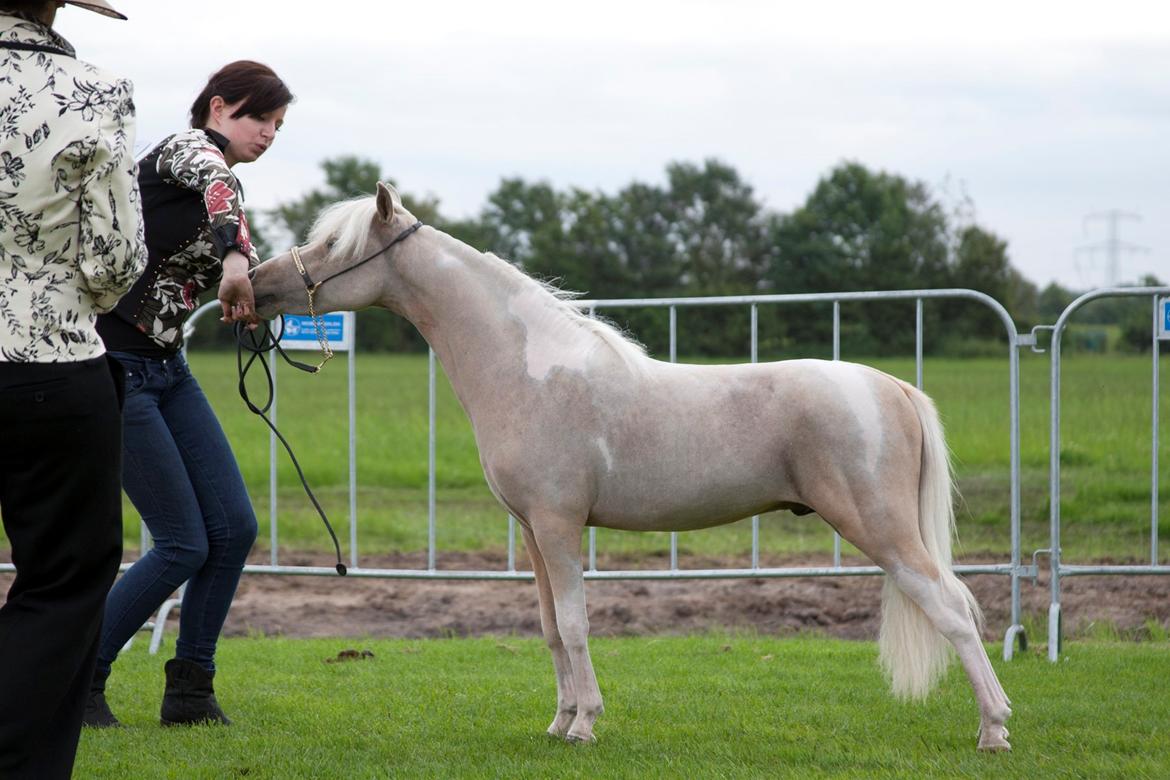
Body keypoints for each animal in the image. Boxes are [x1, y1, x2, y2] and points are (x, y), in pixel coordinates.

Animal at [251, 181, 1010, 748]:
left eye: (333, 244)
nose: (255, 284)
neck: (526, 367)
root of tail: (894, 388)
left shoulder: (560, 526)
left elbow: (577, 624)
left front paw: (585, 725)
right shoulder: (533, 532)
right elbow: (551, 629)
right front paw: (559, 722)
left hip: (882, 529)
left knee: (953, 609)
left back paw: (994, 730)